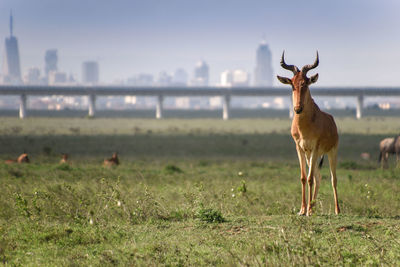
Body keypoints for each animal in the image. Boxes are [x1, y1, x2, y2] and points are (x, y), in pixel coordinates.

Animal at [278, 51, 340, 217]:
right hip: (310, 155)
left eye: (305, 83)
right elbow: (304, 177)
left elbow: (310, 178)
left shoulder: (315, 148)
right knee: (318, 177)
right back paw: (312, 206)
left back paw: (337, 210)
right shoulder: (300, 149)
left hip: (331, 151)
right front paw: (302, 210)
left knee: (333, 179)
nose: (297, 109)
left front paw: (309, 211)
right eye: (292, 84)